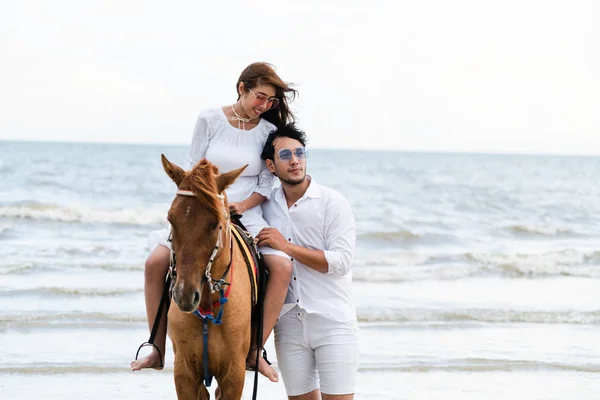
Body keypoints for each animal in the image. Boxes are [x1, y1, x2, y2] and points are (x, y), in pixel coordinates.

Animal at [162, 155, 258, 398]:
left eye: (214, 224)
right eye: (171, 219)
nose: (184, 295)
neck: (207, 304)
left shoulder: (234, 376)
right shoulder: (185, 373)